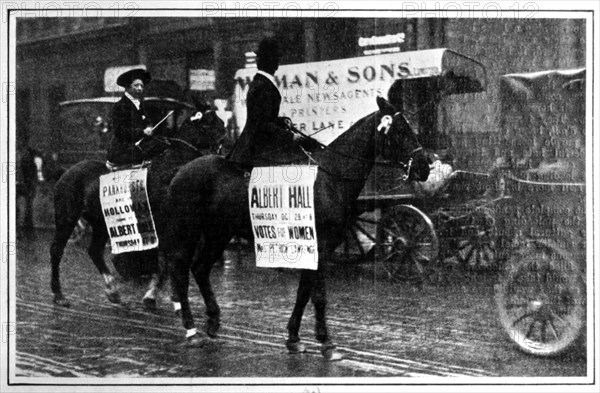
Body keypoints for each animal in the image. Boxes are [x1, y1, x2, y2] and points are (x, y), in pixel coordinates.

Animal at [48, 108, 227, 308]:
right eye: (210, 123)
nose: (225, 143)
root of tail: (66, 172)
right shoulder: (164, 228)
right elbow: (165, 262)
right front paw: (151, 295)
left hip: (101, 224)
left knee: (94, 251)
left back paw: (112, 291)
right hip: (67, 217)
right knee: (56, 250)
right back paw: (58, 294)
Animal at [162, 96, 428, 360]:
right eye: (400, 130)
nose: (425, 167)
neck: (330, 178)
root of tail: (181, 170)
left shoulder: (316, 248)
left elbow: (304, 292)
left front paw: (294, 338)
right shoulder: (320, 246)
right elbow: (318, 295)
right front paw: (326, 343)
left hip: (219, 234)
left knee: (200, 269)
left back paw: (213, 321)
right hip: (187, 232)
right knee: (181, 273)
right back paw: (191, 331)